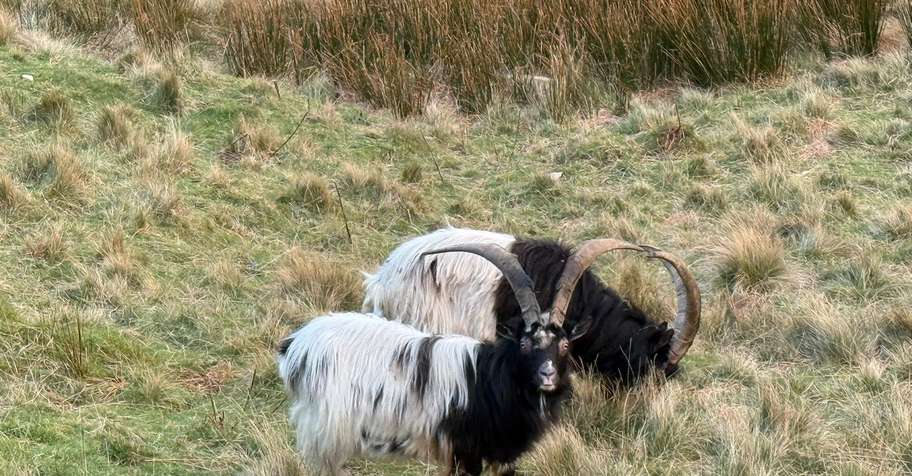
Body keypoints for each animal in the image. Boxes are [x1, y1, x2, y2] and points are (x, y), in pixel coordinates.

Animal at [277, 244, 594, 475]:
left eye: (565, 344)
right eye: (525, 344)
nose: (547, 374)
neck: (491, 378)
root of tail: (297, 346)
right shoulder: (468, 452)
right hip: (325, 436)